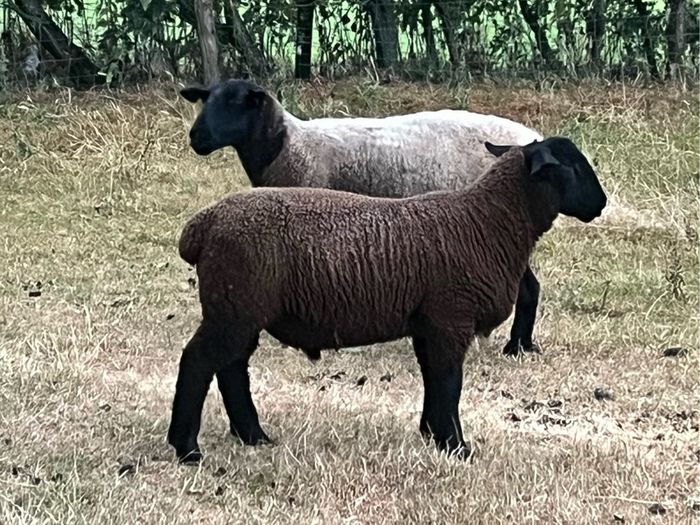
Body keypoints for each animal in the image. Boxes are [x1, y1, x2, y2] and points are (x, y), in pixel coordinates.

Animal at [167, 136, 607, 463]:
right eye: (571, 166)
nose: (601, 204)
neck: (487, 222)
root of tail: (202, 225)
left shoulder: (429, 323)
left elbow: (434, 379)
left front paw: (432, 434)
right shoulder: (451, 317)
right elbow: (450, 382)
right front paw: (456, 446)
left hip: (240, 308)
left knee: (231, 367)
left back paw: (253, 435)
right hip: (234, 306)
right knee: (199, 362)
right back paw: (187, 448)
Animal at [180, 78, 545, 356]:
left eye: (235, 103)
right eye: (205, 100)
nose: (196, 137)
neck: (288, 146)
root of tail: (531, 138)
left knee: (528, 288)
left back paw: (516, 347)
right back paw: (522, 346)